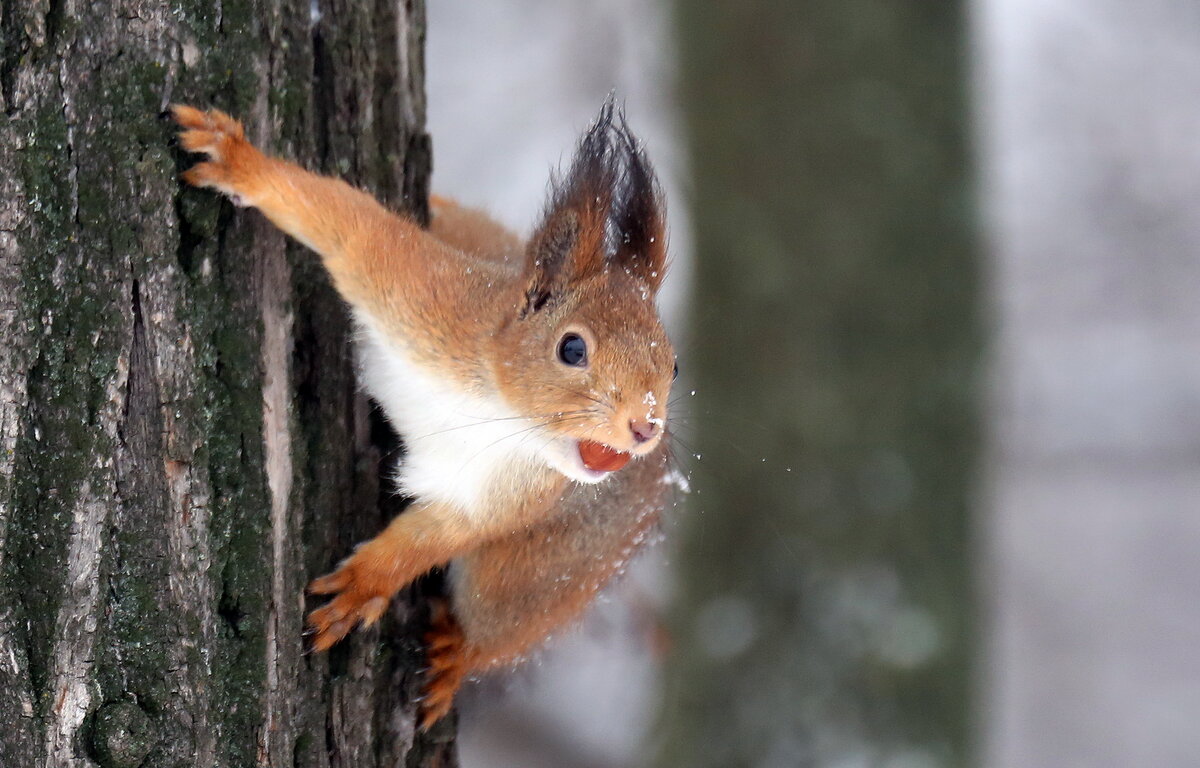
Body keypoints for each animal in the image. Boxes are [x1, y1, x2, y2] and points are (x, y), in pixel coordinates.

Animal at [170, 99, 681, 729]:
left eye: (675, 366)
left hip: (547, 574)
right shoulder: (427, 296)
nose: (644, 426)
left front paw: (364, 586)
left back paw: (456, 657)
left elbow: (434, 536)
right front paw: (241, 163)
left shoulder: (502, 496)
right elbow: (352, 226)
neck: (498, 409)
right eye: (571, 348)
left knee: (500, 621)